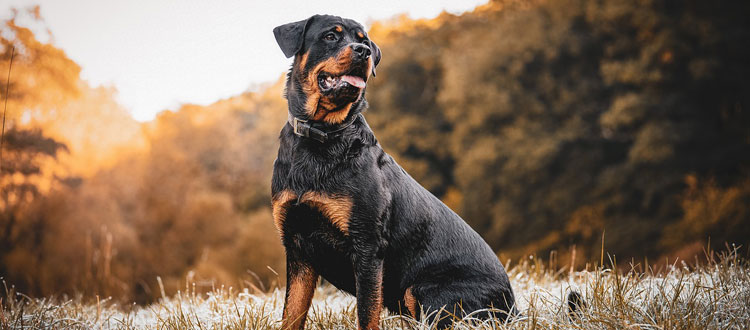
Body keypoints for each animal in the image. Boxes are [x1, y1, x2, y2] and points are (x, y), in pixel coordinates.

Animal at [274, 14, 520, 330]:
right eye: (331, 36)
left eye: (364, 40)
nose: (363, 51)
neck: (323, 136)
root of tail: (513, 308)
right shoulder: (297, 247)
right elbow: (292, 312)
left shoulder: (367, 246)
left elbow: (367, 314)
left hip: (424, 291)